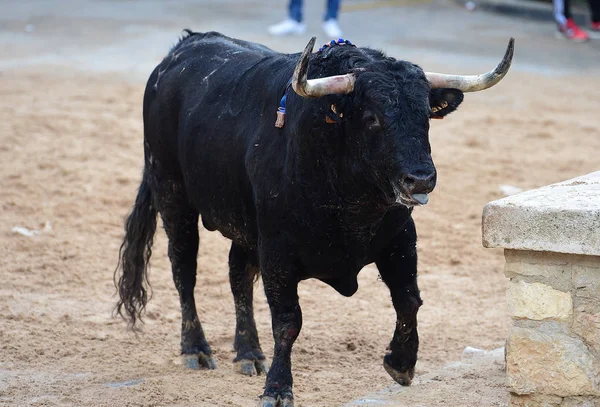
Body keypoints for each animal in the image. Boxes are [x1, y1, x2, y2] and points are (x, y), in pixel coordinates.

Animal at [115, 30, 512, 406]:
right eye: (372, 118)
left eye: (425, 116)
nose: (421, 179)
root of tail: (181, 49)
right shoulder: (277, 251)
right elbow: (288, 321)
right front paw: (277, 389)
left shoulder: (401, 237)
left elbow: (409, 300)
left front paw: (401, 363)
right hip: (172, 193)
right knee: (184, 270)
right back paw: (196, 349)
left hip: (245, 223)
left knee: (237, 275)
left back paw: (248, 353)